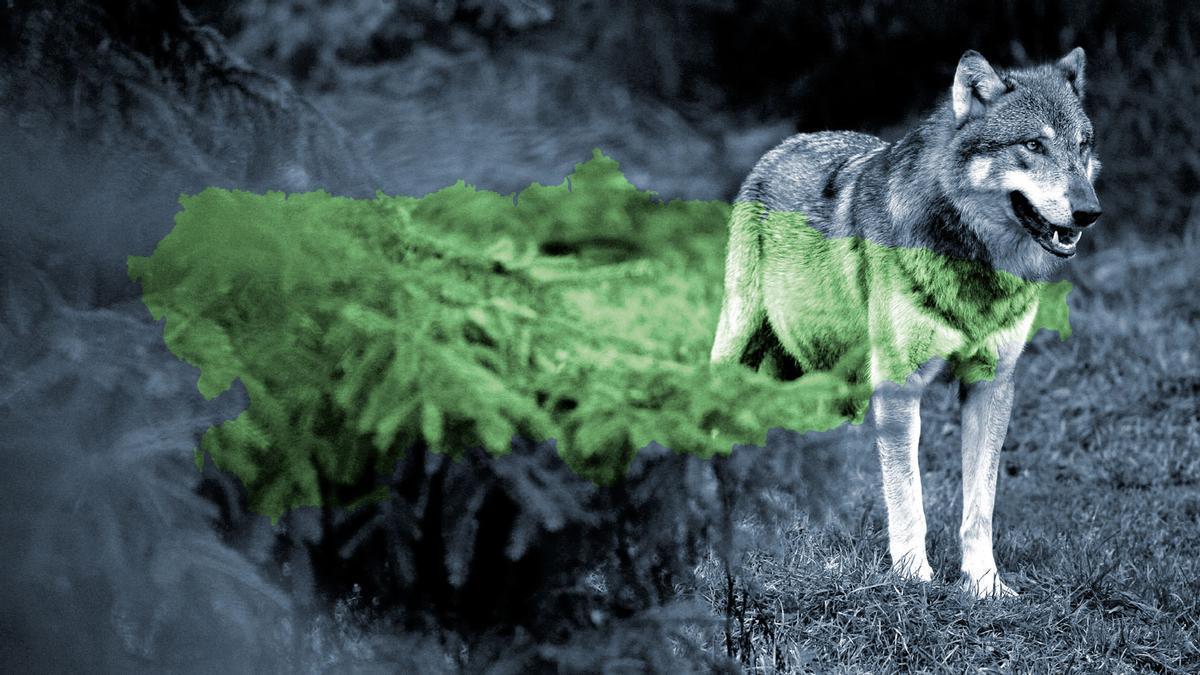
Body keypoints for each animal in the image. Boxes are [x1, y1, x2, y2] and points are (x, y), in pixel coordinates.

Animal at [710, 48, 1101, 598]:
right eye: (1033, 145)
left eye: (1083, 146)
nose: (1089, 212)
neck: (974, 267)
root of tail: (784, 145)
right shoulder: (899, 387)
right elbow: (908, 496)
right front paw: (914, 576)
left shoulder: (991, 385)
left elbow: (979, 505)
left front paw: (984, 584)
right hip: (741, 350)